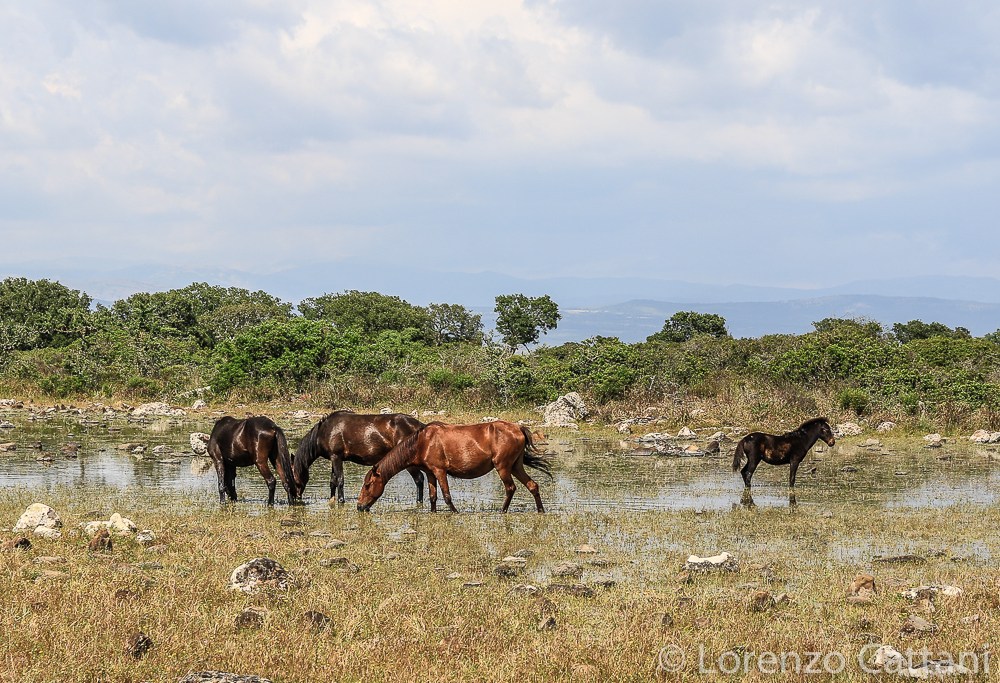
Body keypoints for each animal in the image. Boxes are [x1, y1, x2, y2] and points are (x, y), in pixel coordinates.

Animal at [291, 410, 426, 504]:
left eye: (292, 476)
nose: (296, 497)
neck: (323, 432)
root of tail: (419, 426)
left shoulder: (336, 457)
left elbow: (340, 480)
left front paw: (341, 500)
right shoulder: (333, 458)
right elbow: (332, 482)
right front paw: (332, 499)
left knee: (419, 479)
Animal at [356, 420, 552, 513]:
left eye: (367, 485)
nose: (359, 507)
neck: (422, 442)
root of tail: (518, 428)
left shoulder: (440, 471)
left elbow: (447, 495)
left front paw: (455, 512)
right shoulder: (430, 473)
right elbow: (433, 496)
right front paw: (433, 512)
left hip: (503, 467)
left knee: (510, 488)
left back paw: (502, 511)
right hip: (516, 466)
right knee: (533, 485)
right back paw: (540, 510)